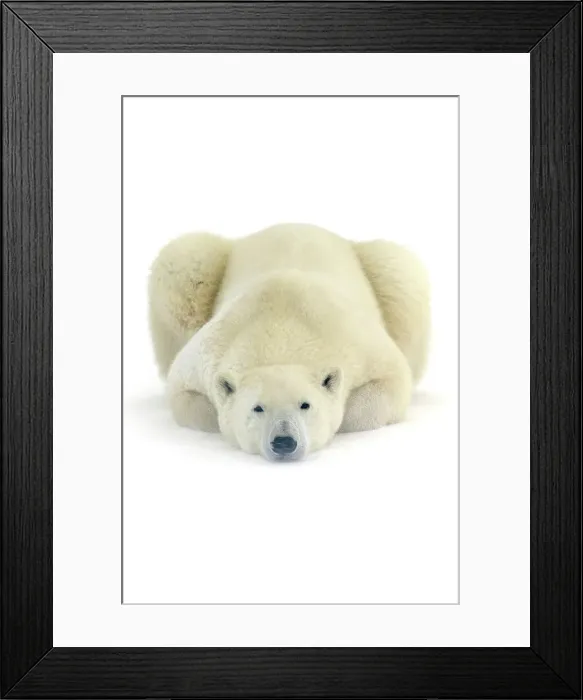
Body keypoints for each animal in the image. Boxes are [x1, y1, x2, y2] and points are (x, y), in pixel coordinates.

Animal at [148, 223, 430, 461]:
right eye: (258, 408)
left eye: (305, 404)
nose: (284, 442)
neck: (280, 328)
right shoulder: (212, 348)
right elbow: (185, 395)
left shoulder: (354, 340)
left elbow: (391, 381)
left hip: (386, 274)